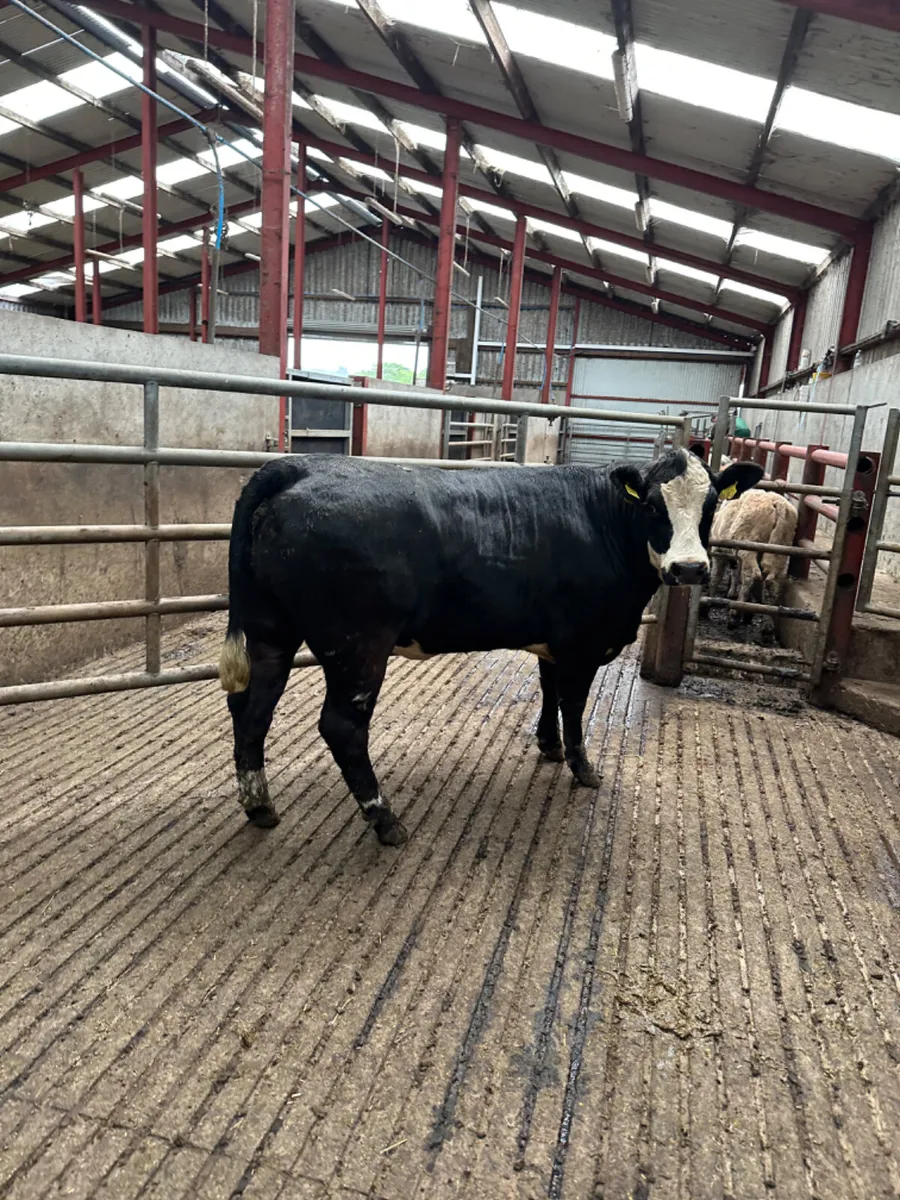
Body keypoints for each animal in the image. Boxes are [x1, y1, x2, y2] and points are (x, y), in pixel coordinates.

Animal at [219, 450, 763, 846]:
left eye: (712, 505)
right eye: (651, 505)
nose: (689, 568)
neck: (602, 521)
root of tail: (299, 465)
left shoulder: (553, 641)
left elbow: (548, 691)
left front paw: (549, 746)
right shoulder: (584, 642)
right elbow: (574, 703)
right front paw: (583, 767)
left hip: (270, 631)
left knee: (252, 710)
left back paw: (259, 807)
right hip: (357, 645)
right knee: (341, 727)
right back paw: (385, 820)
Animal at [709, 488, 798, 639]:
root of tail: (777, 504)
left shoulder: (719, 550)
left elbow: (716, 576)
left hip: (748, 545)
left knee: (752, 575)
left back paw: (735, 615)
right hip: (780, 549)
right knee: (771, 583)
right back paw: (767, 626)